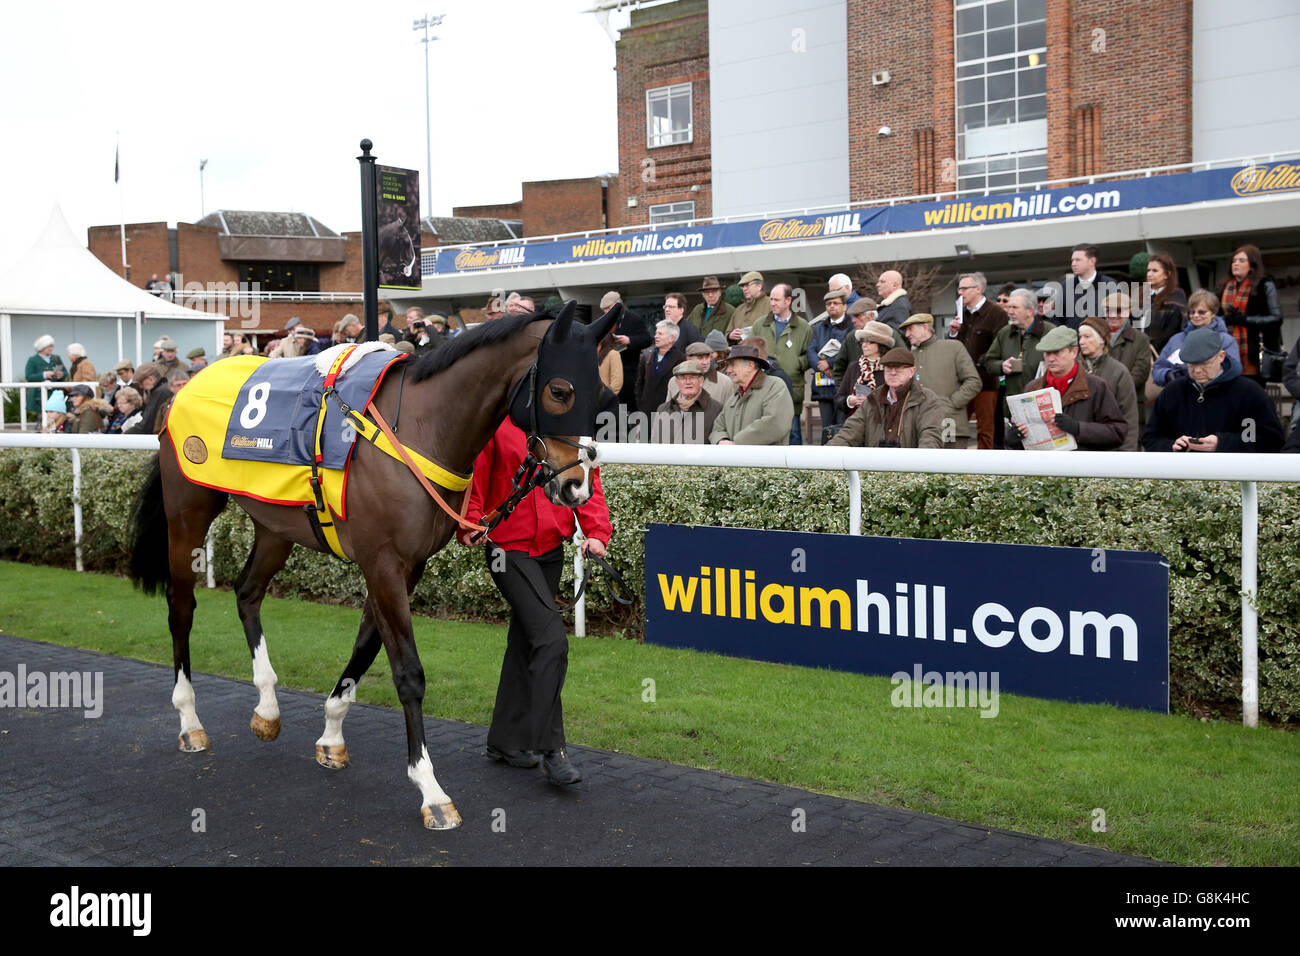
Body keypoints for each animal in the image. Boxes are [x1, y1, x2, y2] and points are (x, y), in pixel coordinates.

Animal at [129, 304, 616, 832]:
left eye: (604, 396)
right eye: (560, 391)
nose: (576, 486)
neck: (420, 428)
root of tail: (182, 388)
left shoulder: (407, 564)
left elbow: (366, 646)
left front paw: (331, 736)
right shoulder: (382, 561)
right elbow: (407, 672)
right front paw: (431, 791)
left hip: (276, 522)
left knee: (247, 592)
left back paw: (267, 708)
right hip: (188, 512)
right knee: (182, 608)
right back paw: (190, 721)